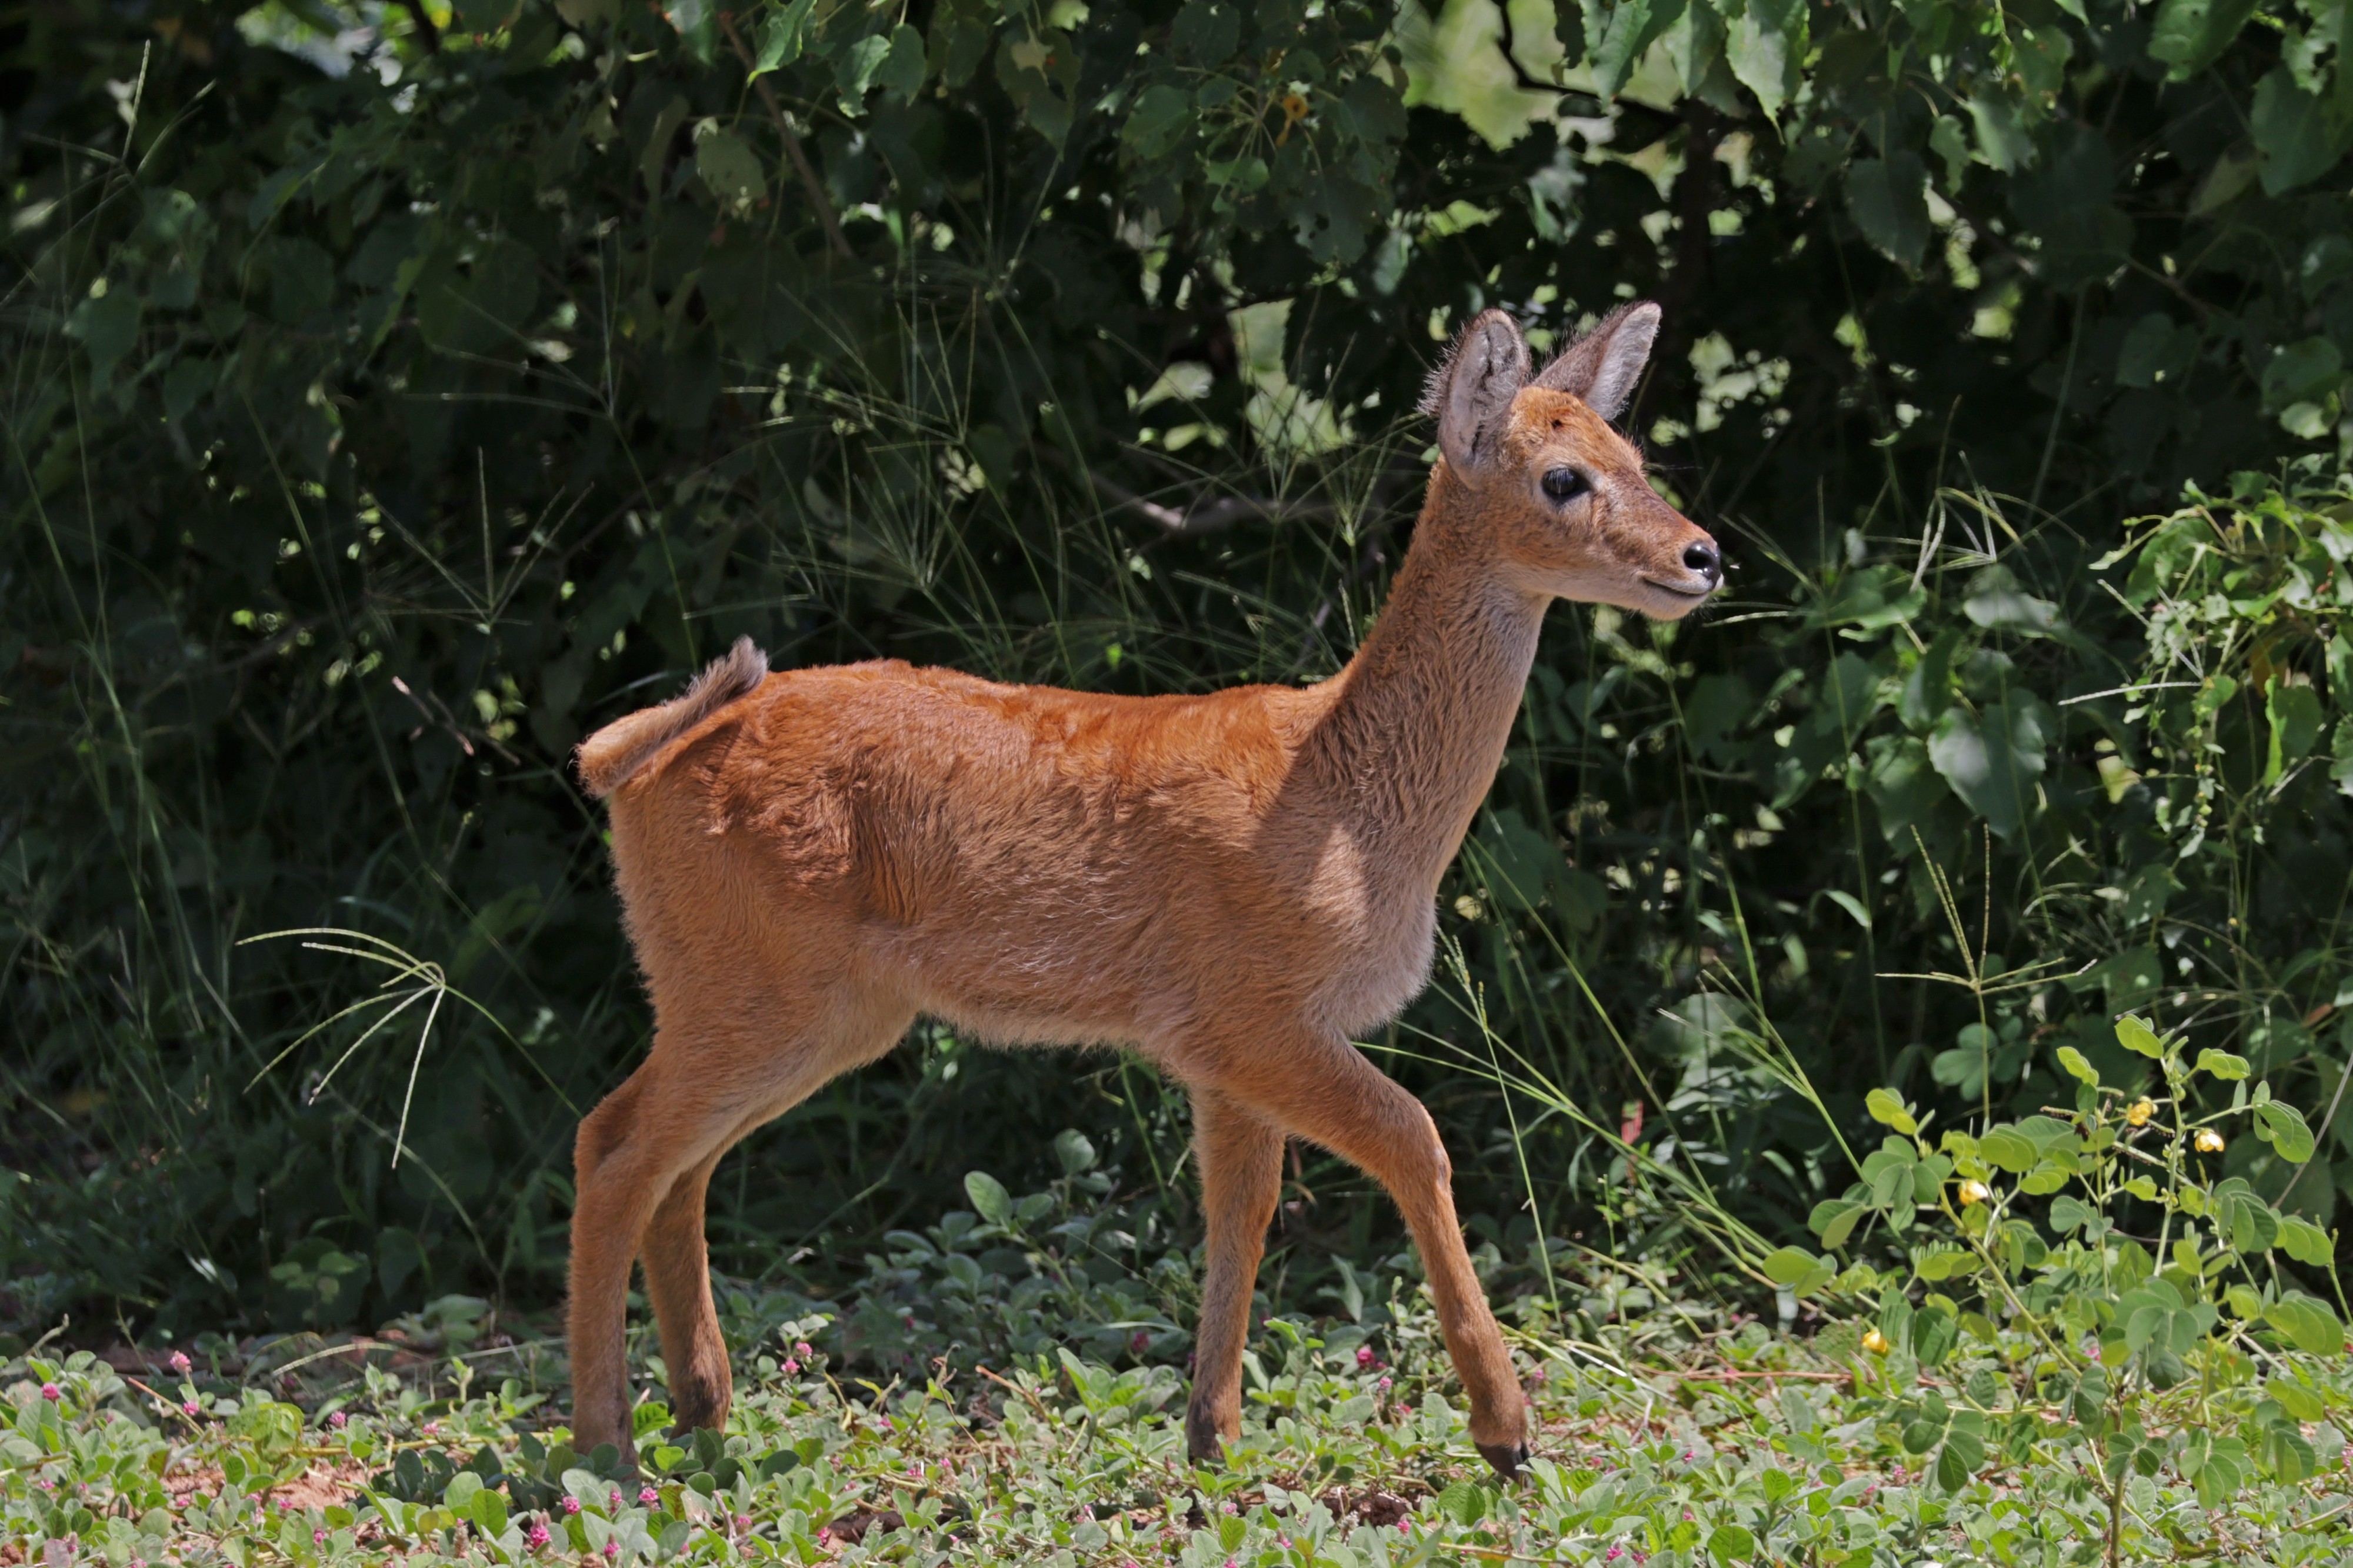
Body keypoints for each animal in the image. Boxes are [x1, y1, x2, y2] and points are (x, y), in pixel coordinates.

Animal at [566, 302, 1720, 1480]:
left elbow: (1240, 1208)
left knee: (672, 1170)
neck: (1349, 803)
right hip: (753, 987)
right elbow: (1413, 1139)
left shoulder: (1220, 1055)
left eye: (1638, 455)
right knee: (611, 1147)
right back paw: (606, 1445)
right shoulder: (1253, 1012)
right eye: (1564, 477)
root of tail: (625, 764)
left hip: (807, 1007)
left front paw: (1212, 1437)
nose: (1703, 555)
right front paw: (1506, 1429)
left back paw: (703, 1413)